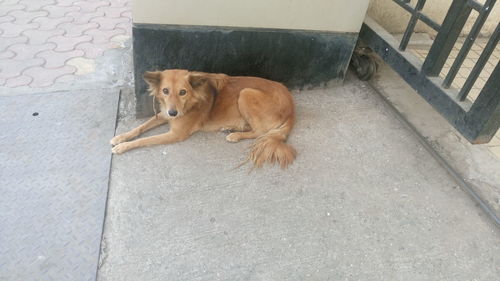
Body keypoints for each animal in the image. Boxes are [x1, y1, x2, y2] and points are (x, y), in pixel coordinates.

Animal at [110, 69, 296, 167]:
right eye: (165, 91)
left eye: (182, 92)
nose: (173, 113)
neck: (191, 101)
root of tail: (292, 108)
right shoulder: (163, 114)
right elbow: (139, 128)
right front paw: (120, 137)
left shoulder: (176, 133)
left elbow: (145, 140)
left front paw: (123, 147)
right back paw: (231, 128)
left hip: (245, 93)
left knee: (260, 132)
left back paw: (235, 135)